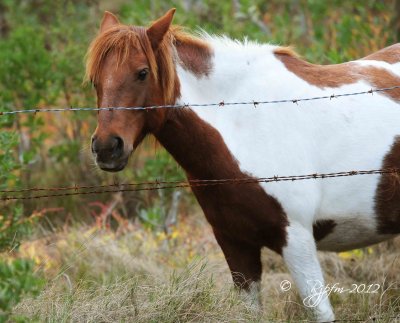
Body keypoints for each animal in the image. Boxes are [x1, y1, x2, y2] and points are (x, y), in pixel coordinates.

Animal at [86, 8, 400, 322]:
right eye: (94, 80)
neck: (244, 123)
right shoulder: (236, 244)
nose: (106, 148)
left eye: (142, 73)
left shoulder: (297, 239)